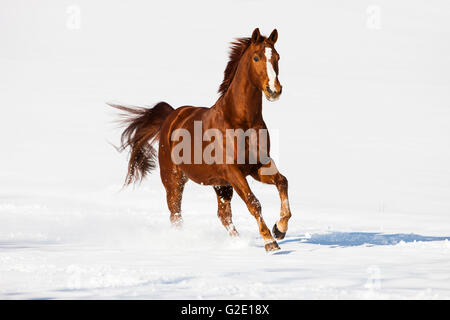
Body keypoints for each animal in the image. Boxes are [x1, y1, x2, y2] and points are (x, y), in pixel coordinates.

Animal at [109, 28, 292, 252]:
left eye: (277, 57)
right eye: (256, 57)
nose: (274, 90)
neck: (240, 120)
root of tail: (171, 117)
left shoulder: (258, 165)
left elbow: (282, 182)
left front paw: (279, 229)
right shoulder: (233, 171)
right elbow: (253, 202)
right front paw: (269, 242)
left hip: (220, 185)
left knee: (223, 215)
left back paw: (237, 242)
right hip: (174, 179)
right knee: (176, 215)